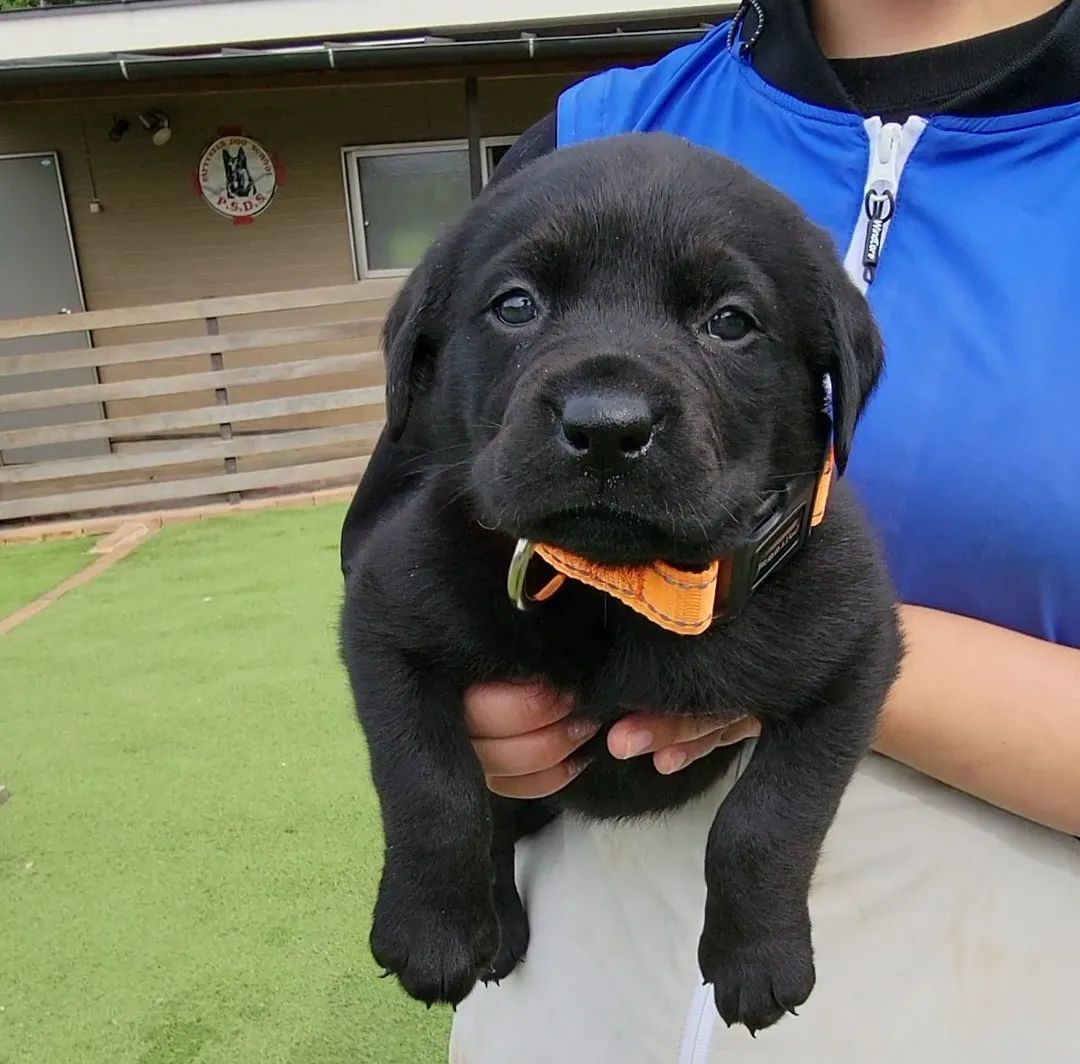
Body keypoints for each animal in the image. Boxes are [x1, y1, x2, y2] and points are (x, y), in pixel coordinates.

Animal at [339, 128, 902, 1032]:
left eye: (730, 322)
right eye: (516, 306)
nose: (606, 428)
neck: (612, 593)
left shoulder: (856, 651)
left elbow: (766, 820)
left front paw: (759, 960)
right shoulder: (384, 614)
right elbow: (436, 787)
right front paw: (432, 931)